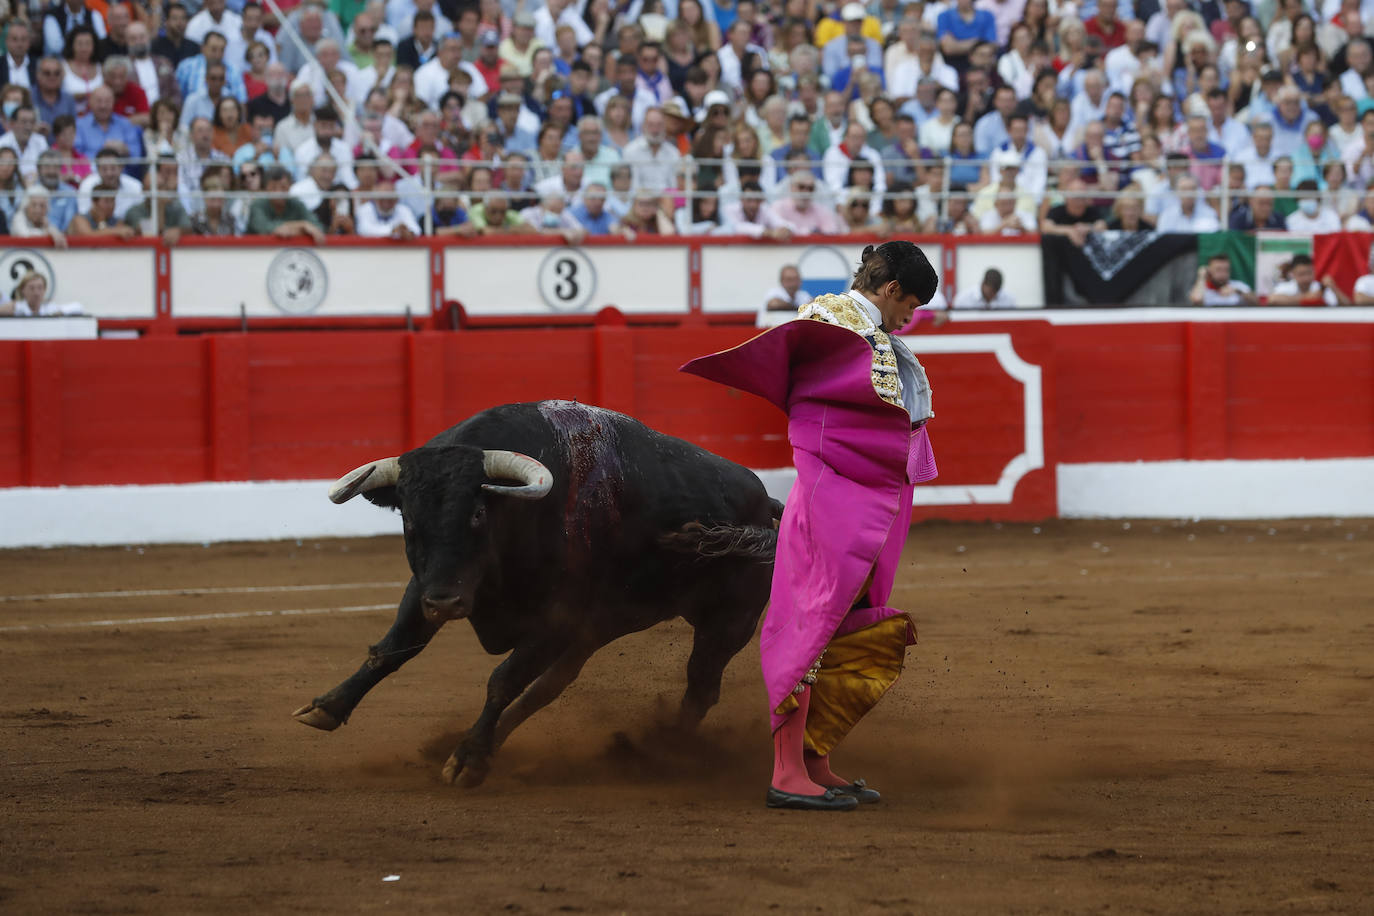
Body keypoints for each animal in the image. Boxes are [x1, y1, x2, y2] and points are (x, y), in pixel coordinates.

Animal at [292, 401, 785, 791]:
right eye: (408, 520)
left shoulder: (556, 619)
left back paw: (663, 751)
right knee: (550, 686)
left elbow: (502, 680)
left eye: (477, 513)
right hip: (598, 629)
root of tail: (767, 504)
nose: (447, 606)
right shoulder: (426, 586)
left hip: (728, 623)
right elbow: (392, 649)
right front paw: (327, 707)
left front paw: (468, 760)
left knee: (700, 687)